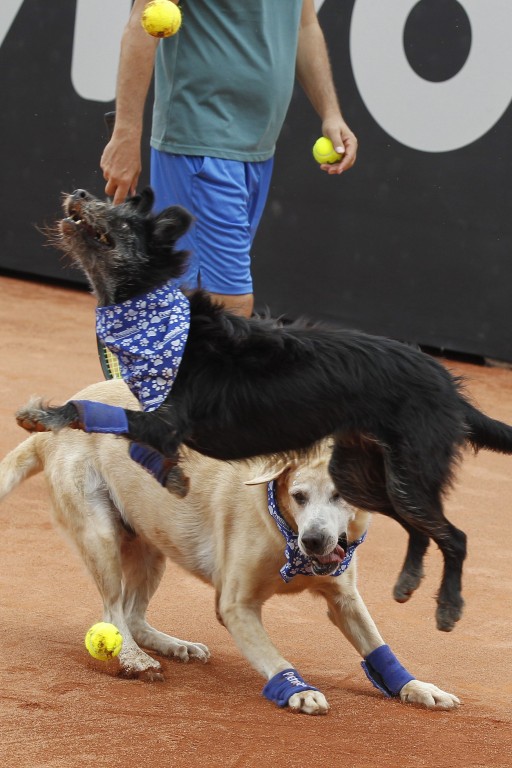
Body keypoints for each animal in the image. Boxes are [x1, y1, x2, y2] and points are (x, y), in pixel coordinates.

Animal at [0, 380, 460, 712]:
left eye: (341, 496)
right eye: (299, 496)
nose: (315, 540)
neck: (283, 531)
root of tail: (57, 422)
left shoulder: (344, 598)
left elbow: (379, 647)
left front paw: (416, 687)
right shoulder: (236, 606)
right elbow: (274, 656)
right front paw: (296, 688)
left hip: (152, 546)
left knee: (132, 615)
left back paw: (172, 645)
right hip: (102, 539)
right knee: (114, 613)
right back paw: (133, 659)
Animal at [16, 188, 512, 632]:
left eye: (119, 220)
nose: (81, 193)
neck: (157, 326)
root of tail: (449, 387)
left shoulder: (163, 422)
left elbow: (88, 407)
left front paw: (43, 415)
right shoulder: (161, 430)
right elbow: (137, 446)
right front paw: (172, 478)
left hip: (406, 474)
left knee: (455, 536)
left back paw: (448, 605)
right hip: (364, 474)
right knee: (420, 529)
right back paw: (409, 579)